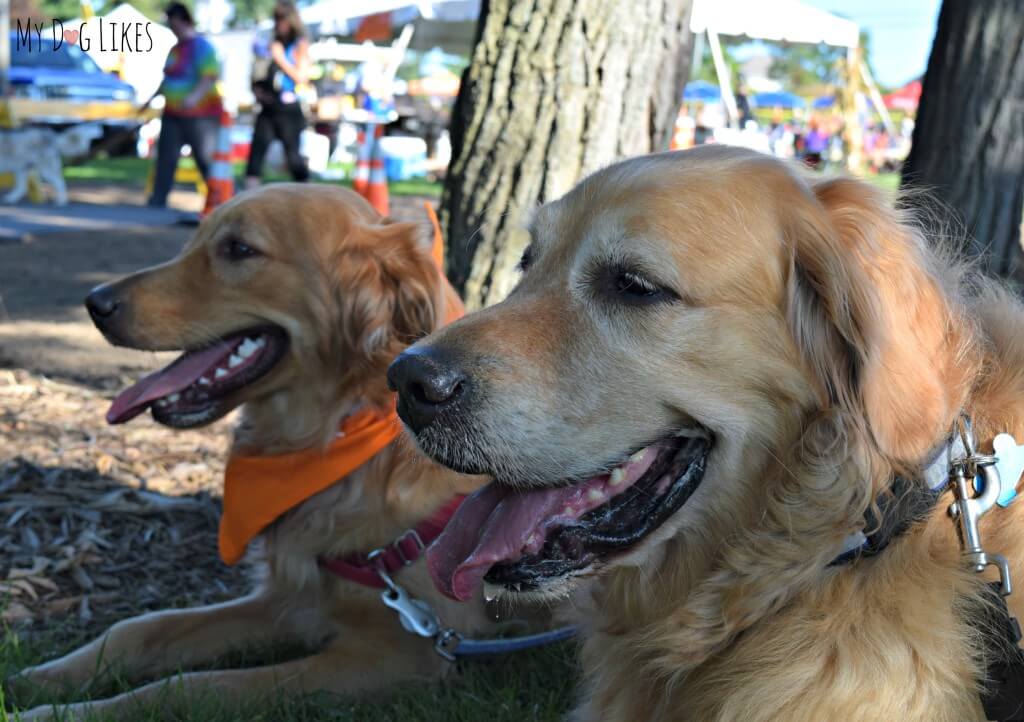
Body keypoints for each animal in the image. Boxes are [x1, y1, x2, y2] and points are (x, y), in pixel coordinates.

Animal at [12, 187, 495, 720]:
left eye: (239, 249)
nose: (95, 302)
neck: (337, 432)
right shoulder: (293, 596)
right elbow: (141, 627)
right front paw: (46, 680)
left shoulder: (400, 654)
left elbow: (196, 686)